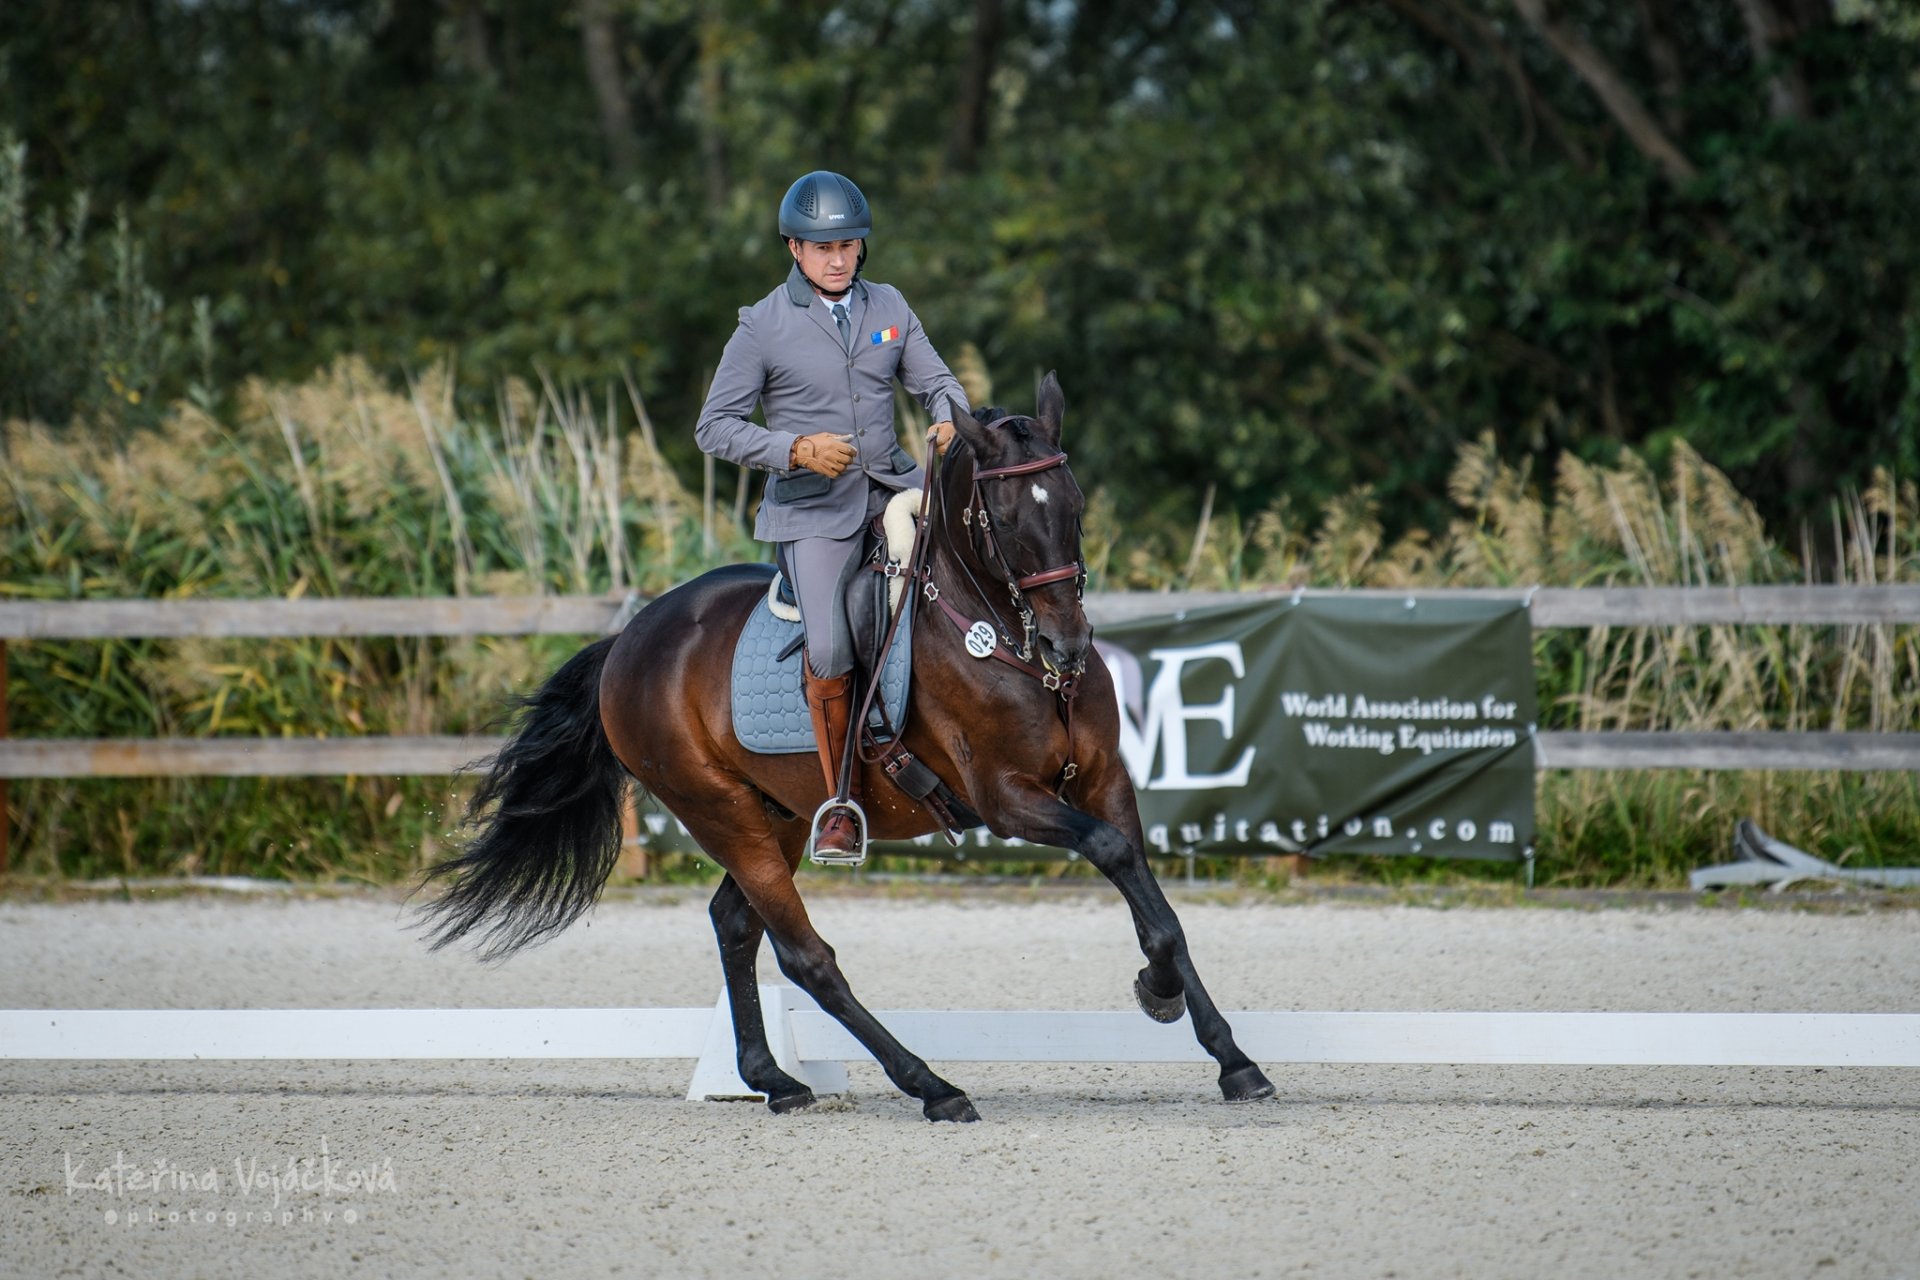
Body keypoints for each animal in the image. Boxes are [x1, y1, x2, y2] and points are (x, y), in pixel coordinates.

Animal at [428, 370, 1282, 1120]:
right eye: (1005, 520)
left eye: (1074, 507)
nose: (1068, 647)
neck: (1004, 639)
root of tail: (630, 640)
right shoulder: (1009, 800)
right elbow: (1110, 852)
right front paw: (1164, 998)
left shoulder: (1103, 780)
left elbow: (1151, 897)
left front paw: (1223, 1050)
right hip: (720, 812)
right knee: (805, 955)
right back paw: (932, 1088)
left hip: (776, 814)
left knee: (737, 926)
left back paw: (776, 1080)